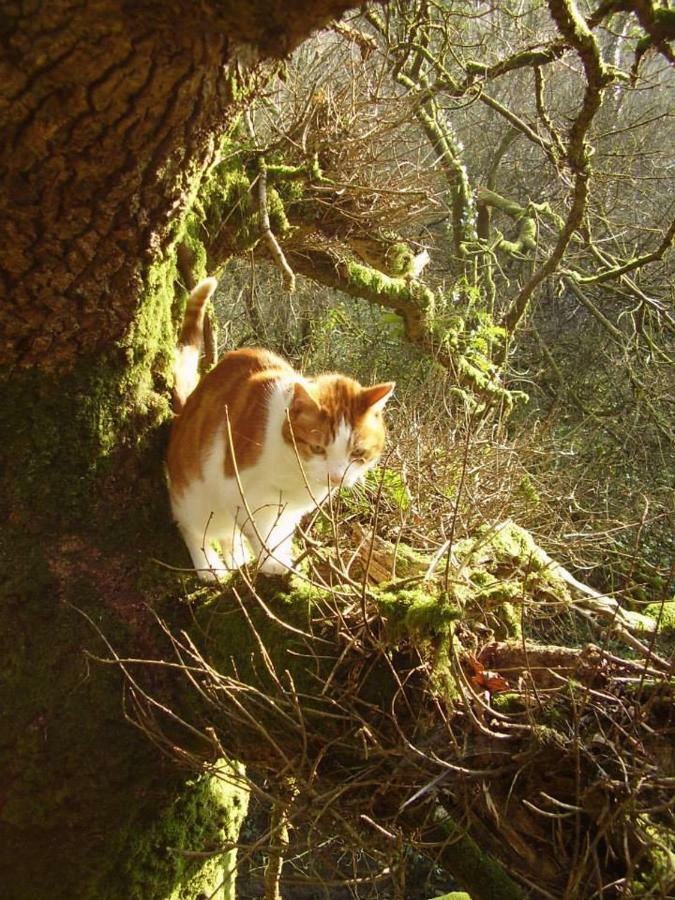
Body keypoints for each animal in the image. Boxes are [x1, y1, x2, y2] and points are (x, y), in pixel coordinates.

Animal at [166, 278, 394, 580]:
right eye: (317, 448)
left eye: (357, 453)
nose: (335, 477)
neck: (296, 474)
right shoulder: (243, 494)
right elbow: (261, 534)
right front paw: (272, 562)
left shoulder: (289, 511)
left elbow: (281, 534)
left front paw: (282, 557)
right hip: (195, 496)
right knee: (194, 529)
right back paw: (209, 567)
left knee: (228, 535)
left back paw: (236, 559)